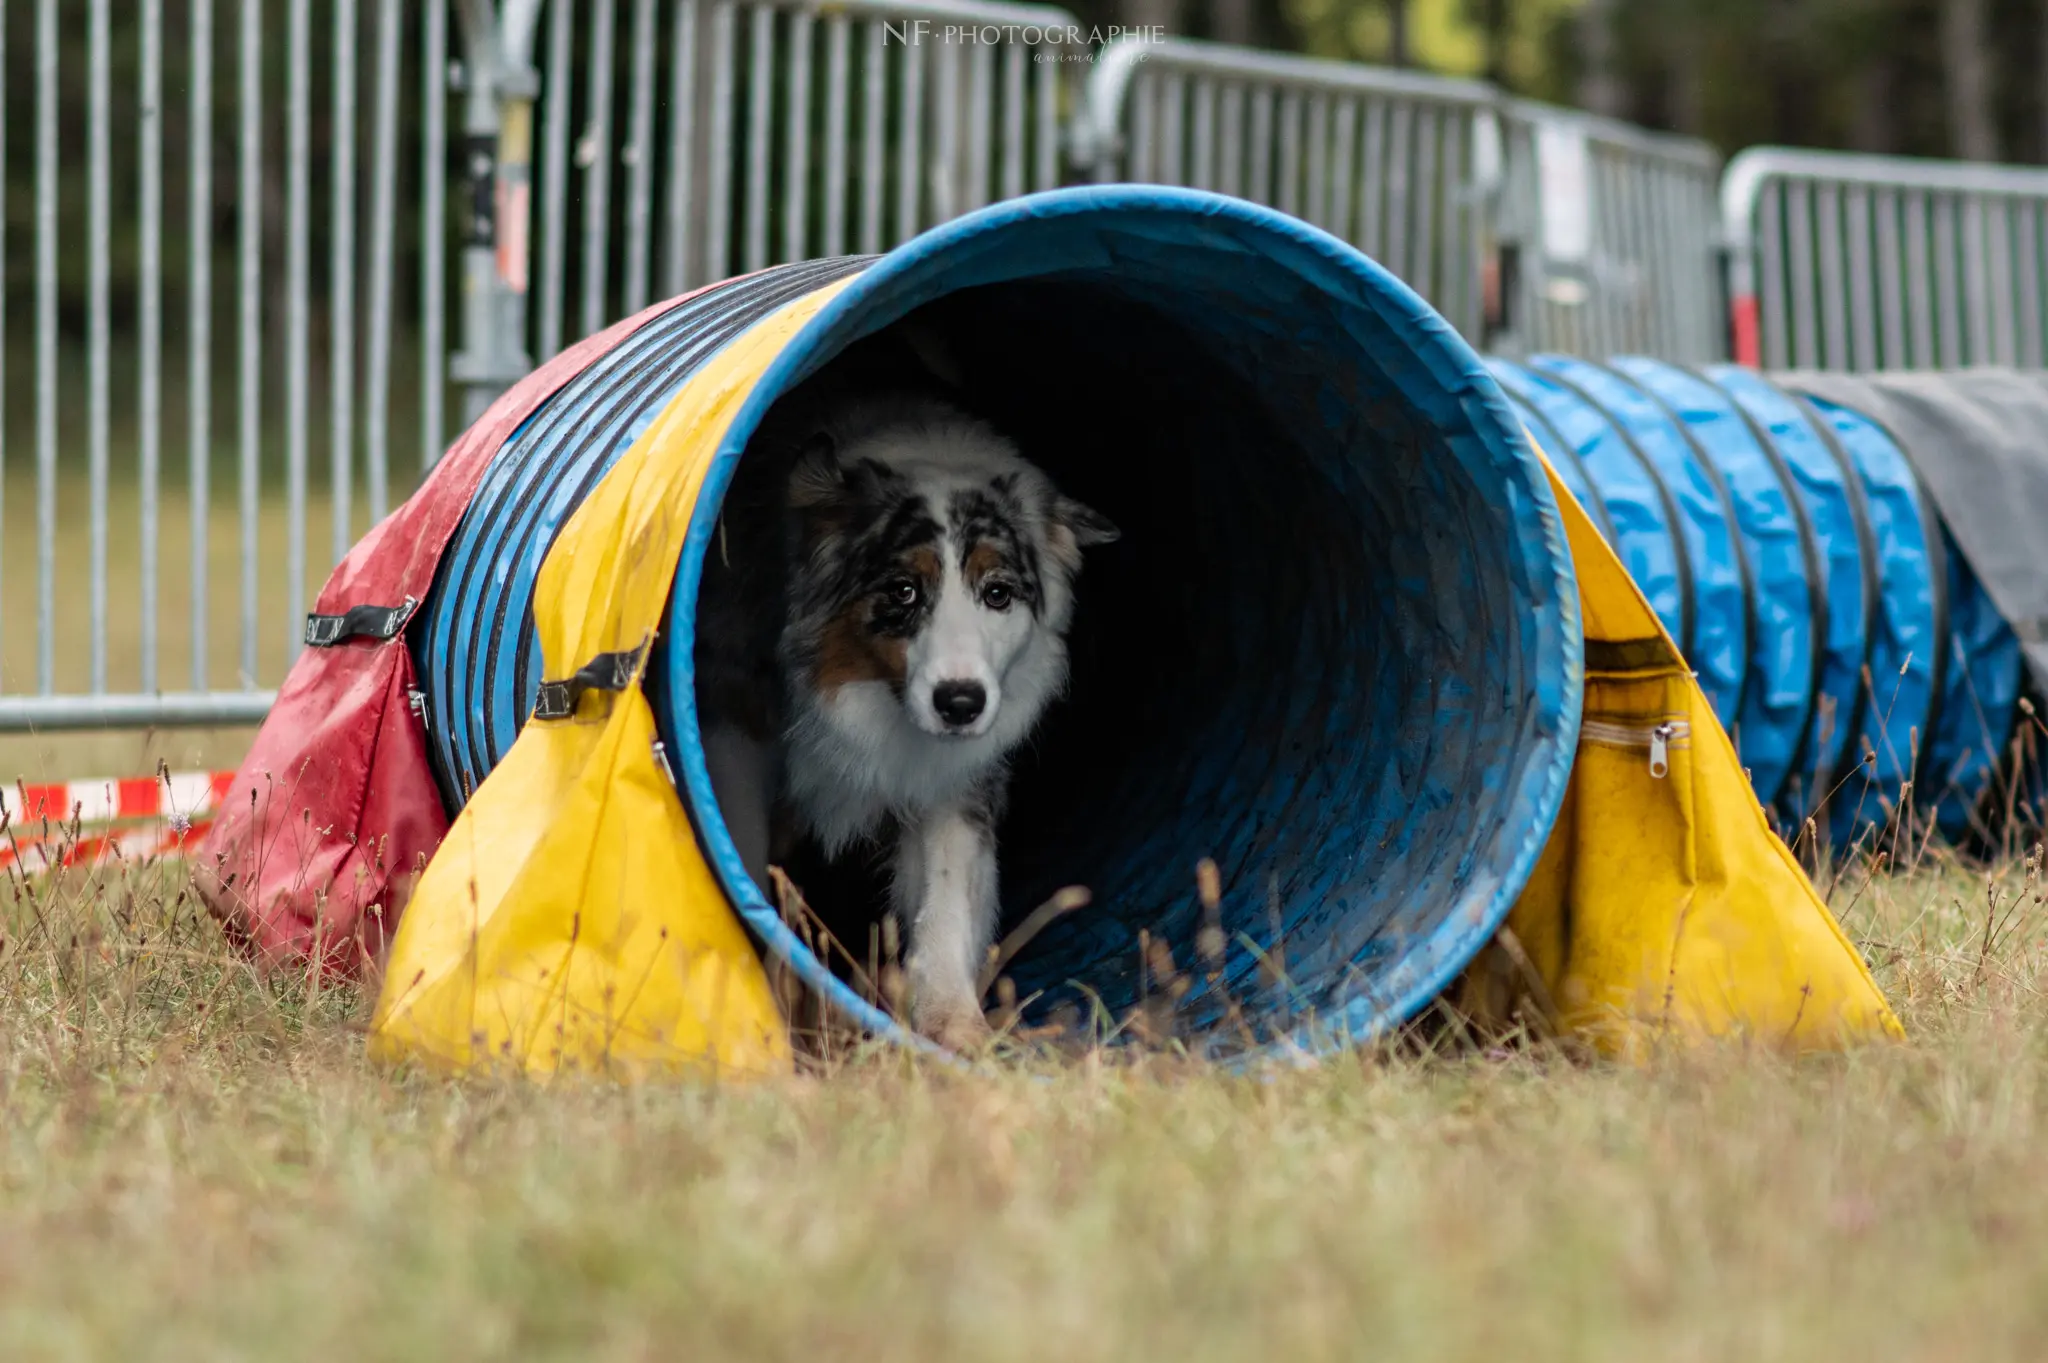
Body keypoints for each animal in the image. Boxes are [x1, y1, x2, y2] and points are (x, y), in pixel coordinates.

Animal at [692, 376, 1114, 1043]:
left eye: (998, 593)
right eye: (903, 590)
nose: (960, 703)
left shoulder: (952, 783)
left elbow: (943, 906)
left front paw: (956, 1031)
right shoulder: (733, 724)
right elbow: (746, 860)